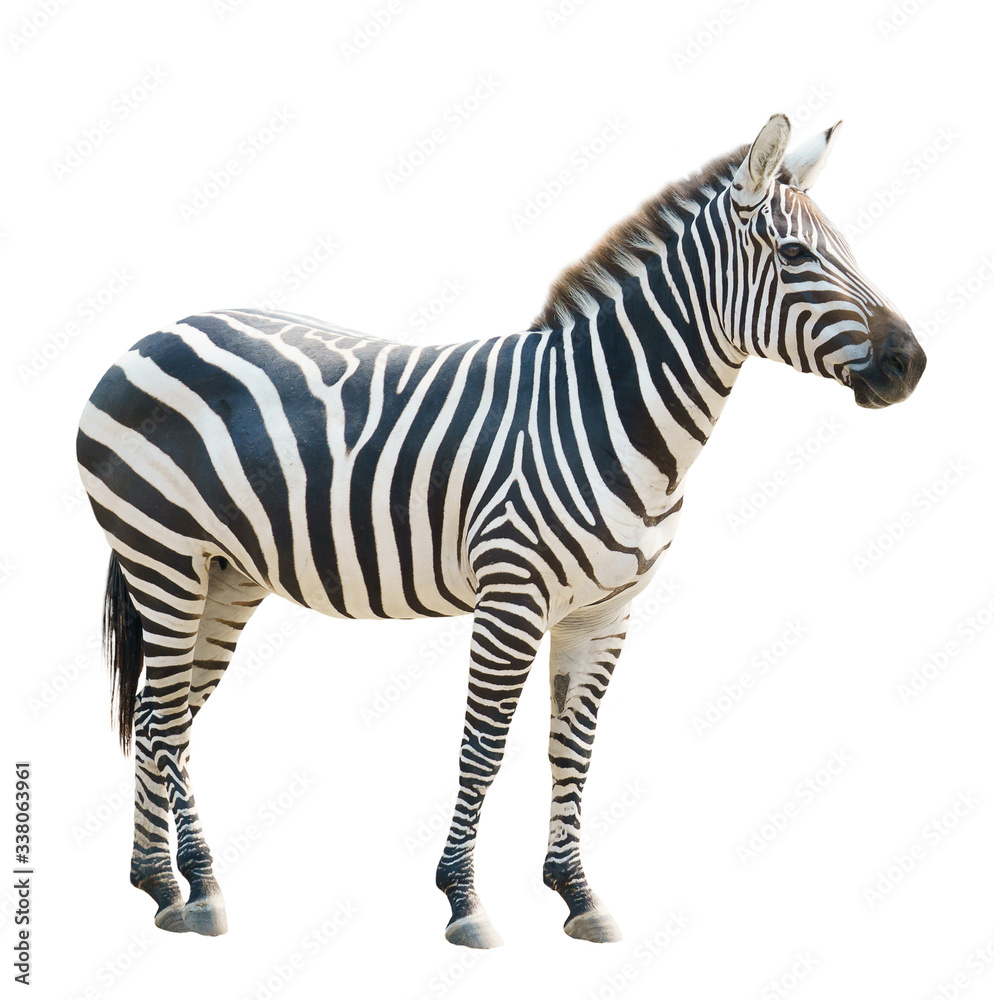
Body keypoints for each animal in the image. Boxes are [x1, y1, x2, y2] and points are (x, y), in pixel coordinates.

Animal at [76, 113, 925, 948]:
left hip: (226, 575)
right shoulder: (512, 597)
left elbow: (573, 751)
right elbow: (484, 748)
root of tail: (154, 334)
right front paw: (464, 900)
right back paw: (201, 886)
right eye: (794, 254)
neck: (606, 414)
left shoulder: (605, 612)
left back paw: (159, 882)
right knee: (166, 716)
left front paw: (578, 895)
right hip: (163, 557)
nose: (910, 364)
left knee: (160, 715)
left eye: (849, 249)